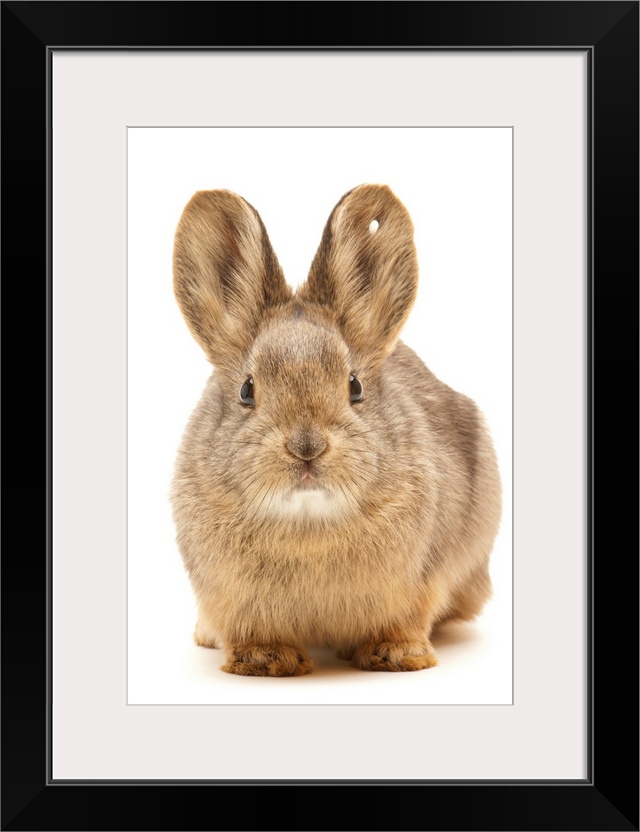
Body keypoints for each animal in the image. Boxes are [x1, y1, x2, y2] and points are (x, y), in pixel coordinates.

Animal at [171, 184, 502, 677]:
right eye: (248, 390)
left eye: (354, 386)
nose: (307, 447)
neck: (308, 525)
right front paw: (266, 661)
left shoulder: (416, 586)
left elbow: (405, 621)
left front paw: (395, 655)